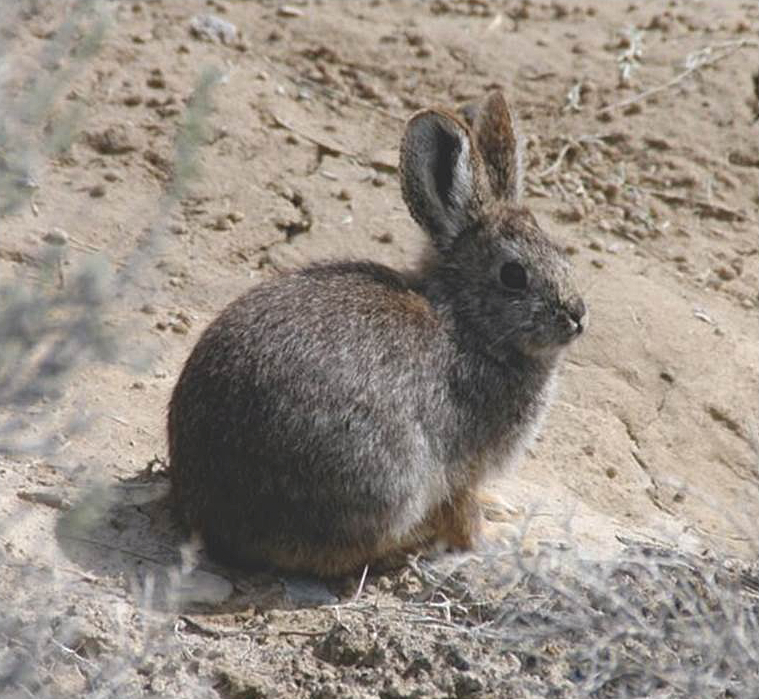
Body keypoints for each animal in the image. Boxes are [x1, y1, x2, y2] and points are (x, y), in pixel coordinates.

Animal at [167, 90, 586, 577]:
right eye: (514, 275)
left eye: (561, 252)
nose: (577, 316)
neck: (469, 323)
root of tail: (210, 518)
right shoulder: (460, 464)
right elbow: (465, 518)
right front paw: (503, 539)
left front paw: (500, 507)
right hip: (385, 476)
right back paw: (414, 541)